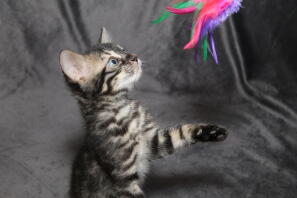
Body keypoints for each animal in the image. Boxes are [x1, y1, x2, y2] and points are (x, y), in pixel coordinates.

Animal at [59, 27, 227, 197]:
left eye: (123, 50)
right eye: (114, 62)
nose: (134, 57)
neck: (122, 110)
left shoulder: (153, 141)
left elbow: (180, 132)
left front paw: (212, 131)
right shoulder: (124, 179)